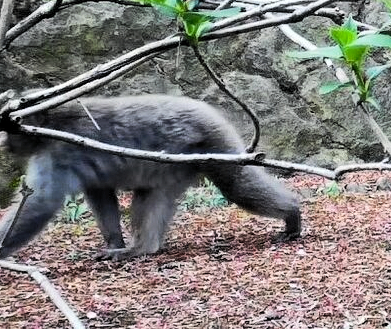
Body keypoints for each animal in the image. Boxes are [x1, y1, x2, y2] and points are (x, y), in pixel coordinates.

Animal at [0, 94, 304, 258]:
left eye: (7, 126)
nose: (3, 141)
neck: (48, 124)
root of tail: (206, 108)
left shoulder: (58, 153)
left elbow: (40, 202)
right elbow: (100, 192)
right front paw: (114, 241)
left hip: (212, 141)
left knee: (236, 184)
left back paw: (292, 212)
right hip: (176, 165)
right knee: (151, 194)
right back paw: (144, 248)